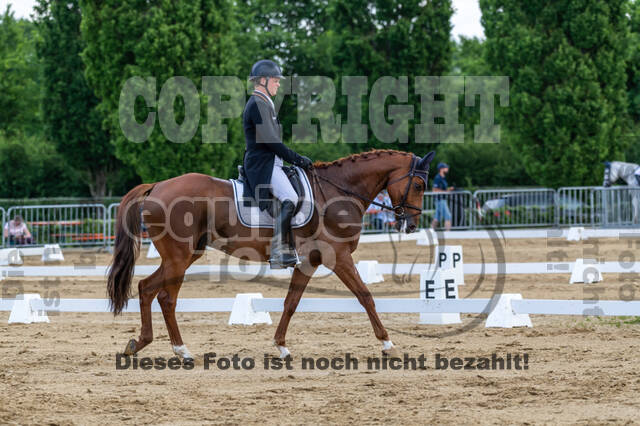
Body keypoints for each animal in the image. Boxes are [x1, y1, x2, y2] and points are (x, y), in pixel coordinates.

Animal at [107, 149, 436, 360]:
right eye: (419, 185)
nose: (412, 225)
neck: (337, 193)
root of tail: (157, 186)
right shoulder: (338, 257)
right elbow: (365, 296)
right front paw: (387, 343)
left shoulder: (309, 262)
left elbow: (291, 302)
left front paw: (281, 346)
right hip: (180, 257)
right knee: (165, 297)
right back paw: (182, 351)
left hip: (184, 256)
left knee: (146, 288)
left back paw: (139, 344)